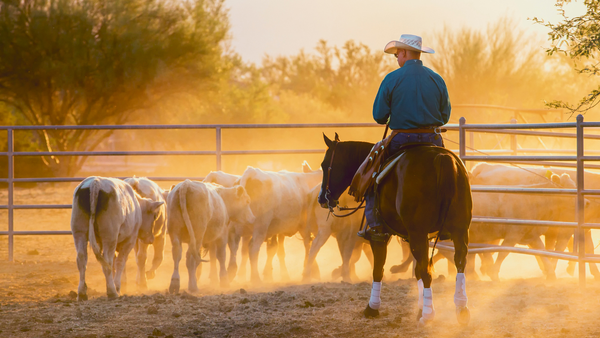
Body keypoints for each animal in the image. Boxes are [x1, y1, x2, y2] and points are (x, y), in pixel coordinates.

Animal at [318, 133, 474, 326]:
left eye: (324, 164)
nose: (322, 198)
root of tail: (442, 159)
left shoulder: (380, 235)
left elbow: (378, 269)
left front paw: (372, 308)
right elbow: (416, 271)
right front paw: (419, 309)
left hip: (418, 233)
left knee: (427, 271)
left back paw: (428, 315)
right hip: (459, 231)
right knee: (458, 263)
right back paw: (461, 309)